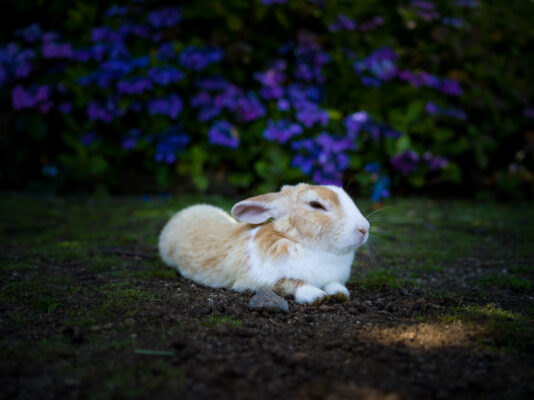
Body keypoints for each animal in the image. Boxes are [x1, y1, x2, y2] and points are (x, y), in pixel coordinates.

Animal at [157, 184, 370, 304]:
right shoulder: (261, 281)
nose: (364, 228)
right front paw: (316, 296)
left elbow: (333, 283)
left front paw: (341, 294)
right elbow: (292, 283)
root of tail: (183, 212)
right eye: (315, 205)